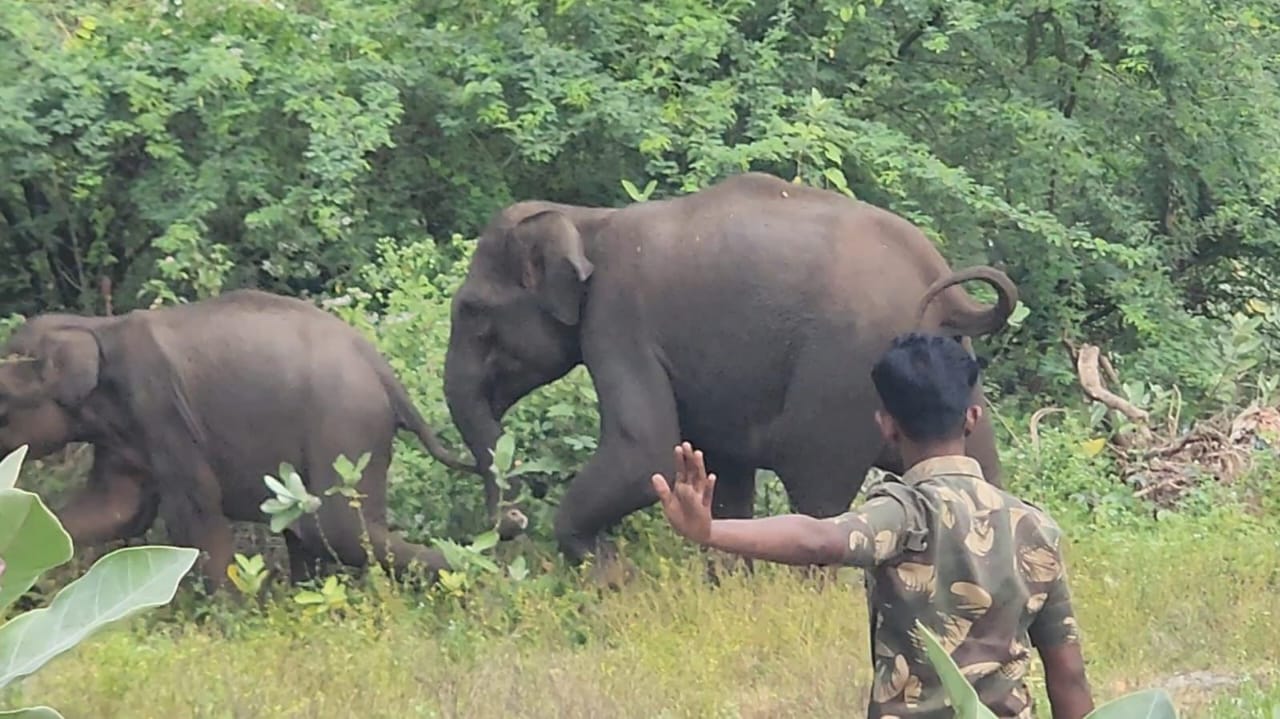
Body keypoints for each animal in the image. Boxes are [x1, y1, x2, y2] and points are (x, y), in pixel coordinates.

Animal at [0, 287, 478, 591]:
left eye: (2, 409)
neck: (96, 326)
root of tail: (383, 371)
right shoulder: (124, 435)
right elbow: (116, 510)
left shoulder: (164, 410)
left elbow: (195, 514)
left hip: (345, 425)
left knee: (332, 528)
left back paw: (469, 575)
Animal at [442, 170, 1018, 562]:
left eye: (471, 309)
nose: (512, 519)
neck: (586, 219)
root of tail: (945, 285)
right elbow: (724, 470)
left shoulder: (617, 318)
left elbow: (642, 450)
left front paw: (604, 571)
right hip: (955, 374)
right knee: (980, 467)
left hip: (842, 378)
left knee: (818, 491)